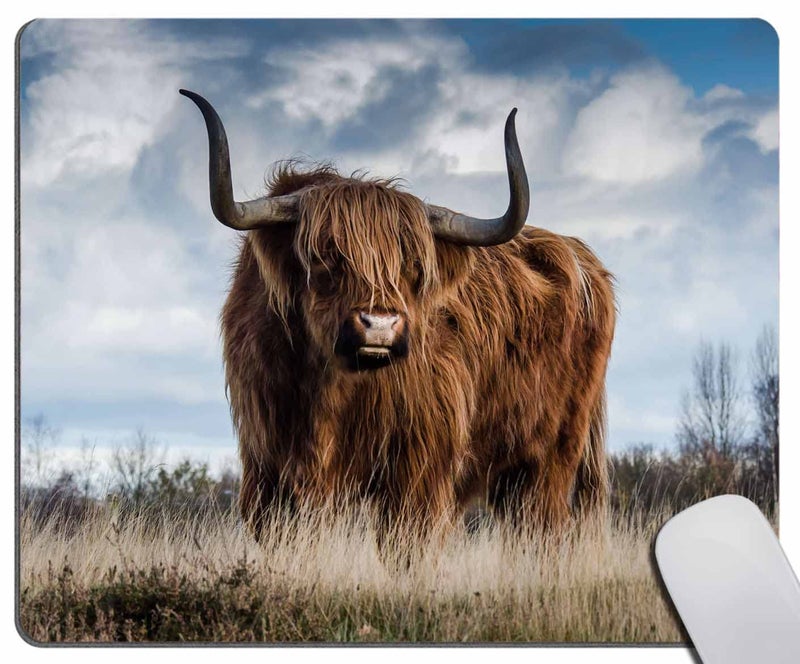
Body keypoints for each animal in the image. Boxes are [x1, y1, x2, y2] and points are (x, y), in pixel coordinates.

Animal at [180, 89, 615, 542]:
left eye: (413, 266)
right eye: (325, 256)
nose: (380, 325)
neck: (329, 390)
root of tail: (582, 257)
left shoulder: (418, 470)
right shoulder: (267, 468)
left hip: (550, 459)